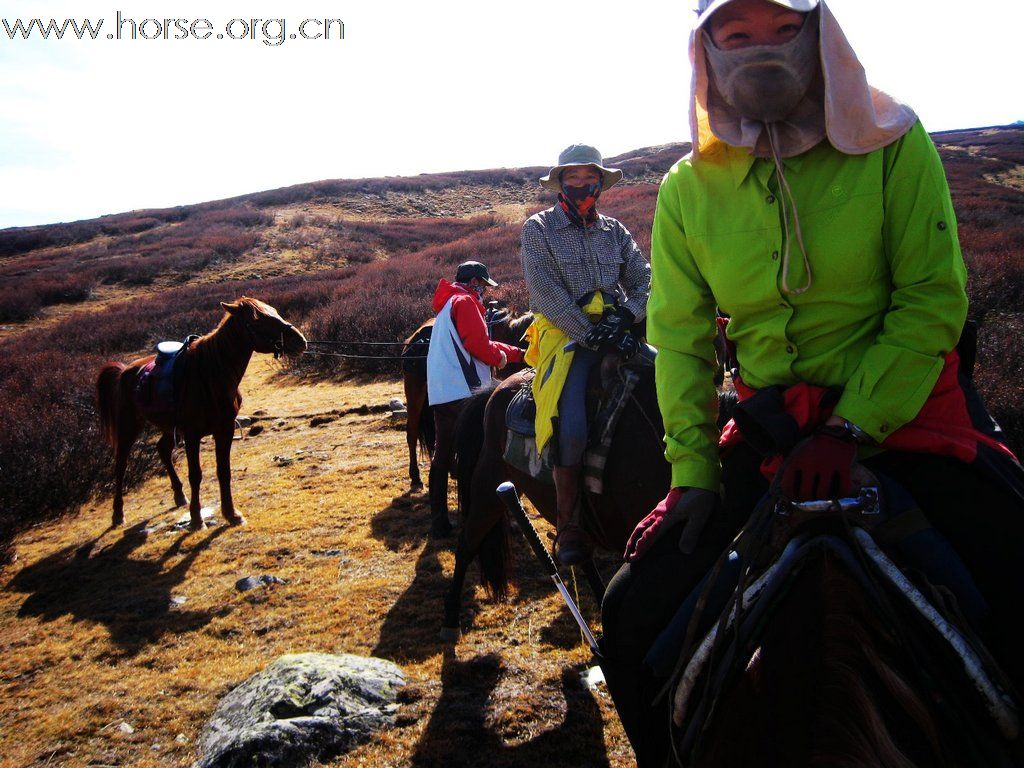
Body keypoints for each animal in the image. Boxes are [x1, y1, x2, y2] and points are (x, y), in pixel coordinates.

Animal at [94, 296, 305, 528]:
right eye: (257, 320)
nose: (300, 341)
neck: (210, 375)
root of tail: (124, 370)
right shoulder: (192, 434)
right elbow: (195, 474)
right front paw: (196, 518)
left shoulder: (224, 429)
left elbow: (224, 471)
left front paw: (231, 513)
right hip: (129, 426)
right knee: (121, 464)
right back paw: (118, 513)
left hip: (169, 427)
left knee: (162, 449)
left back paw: (179, 496)